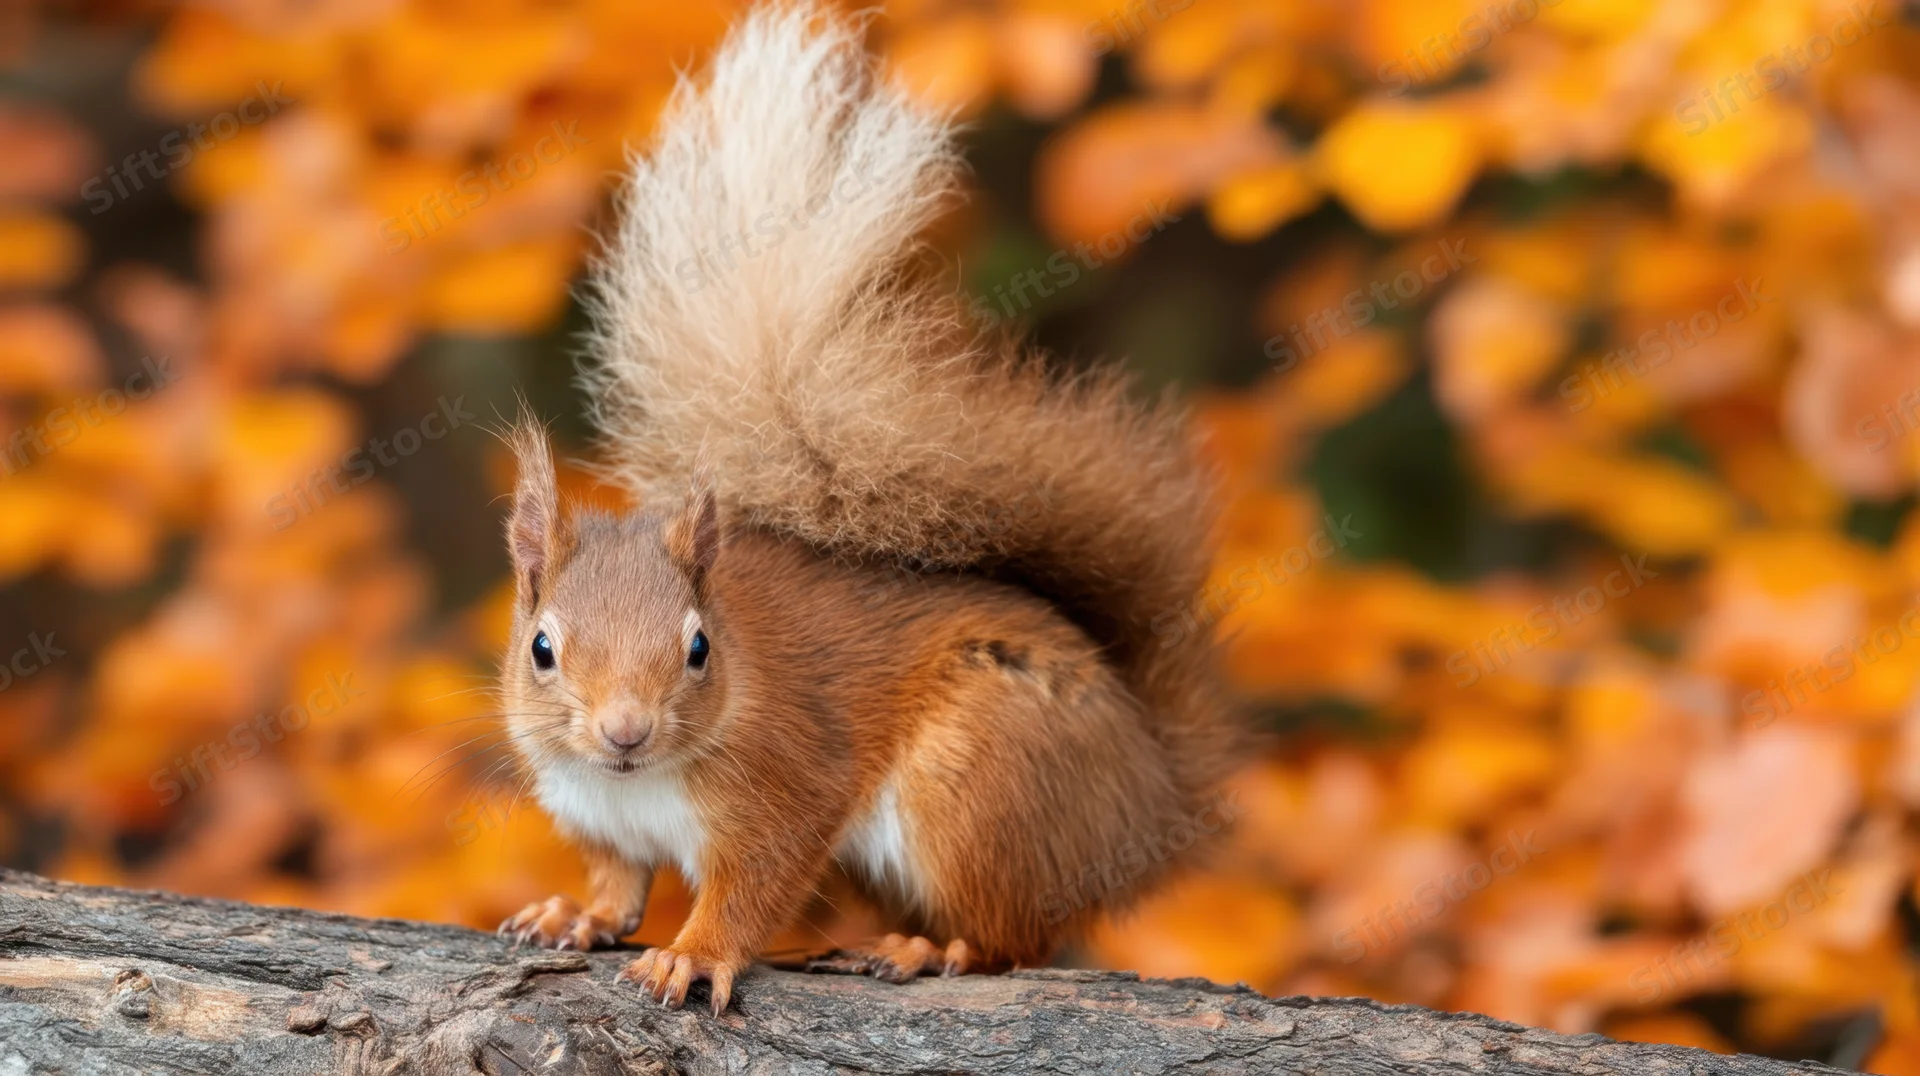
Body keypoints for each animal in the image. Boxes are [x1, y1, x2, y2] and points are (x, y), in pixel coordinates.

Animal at [495, 2, 1243, 1014]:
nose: (624, 731)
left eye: (699, 649)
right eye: (541, 649)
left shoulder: (787, 785)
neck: (636, 781)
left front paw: (695, 953)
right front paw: (575, 916)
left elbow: (755, 884)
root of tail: (1151, 804)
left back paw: (931, 949)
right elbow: (618, 882)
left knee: (1014, 940)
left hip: (980, 780)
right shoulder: (598, 817)